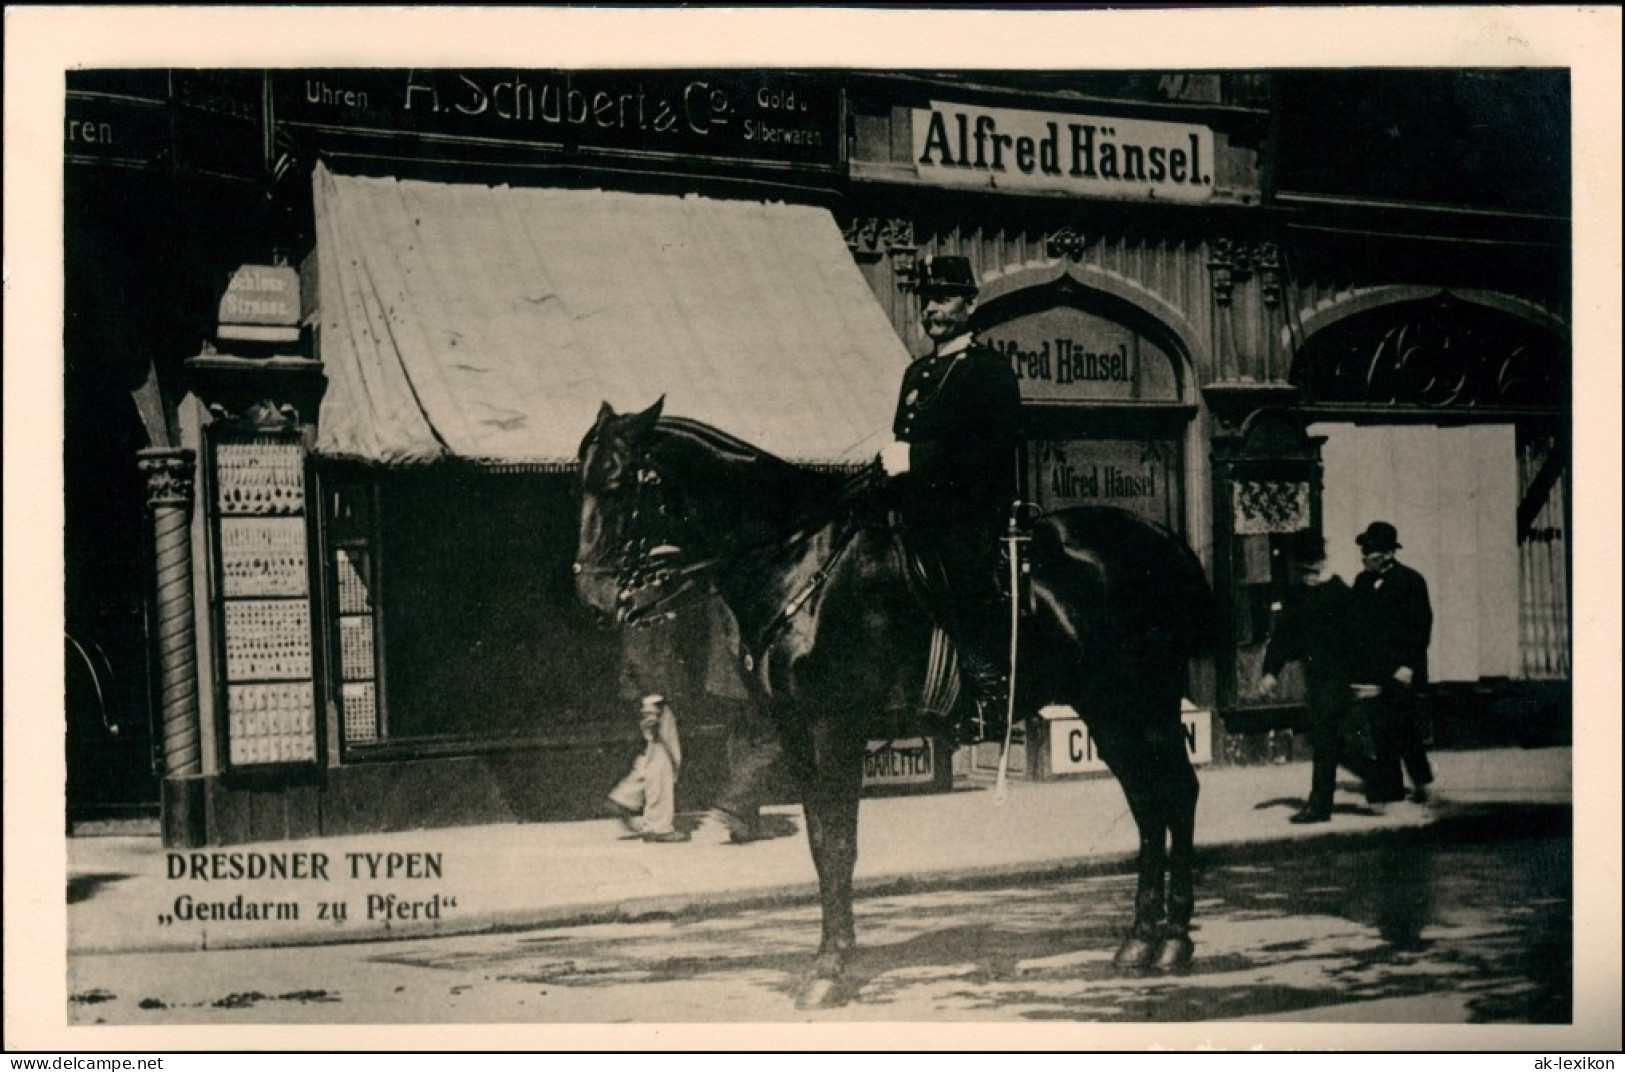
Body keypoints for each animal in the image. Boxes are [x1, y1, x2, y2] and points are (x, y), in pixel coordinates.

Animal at [578, 397, 1215, 1007]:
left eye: (615, 483)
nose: (592, 598)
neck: (799, 561)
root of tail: (1166, 541)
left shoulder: (834, 727)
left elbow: (839, 843)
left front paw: (830, 969)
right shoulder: (796, 731)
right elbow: (821, 843)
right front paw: (832, 956)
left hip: (1142, 699)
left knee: (1176, 792)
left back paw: (1173, 938)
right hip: (1109, 708)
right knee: (1147, 800)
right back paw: (1140, 939)